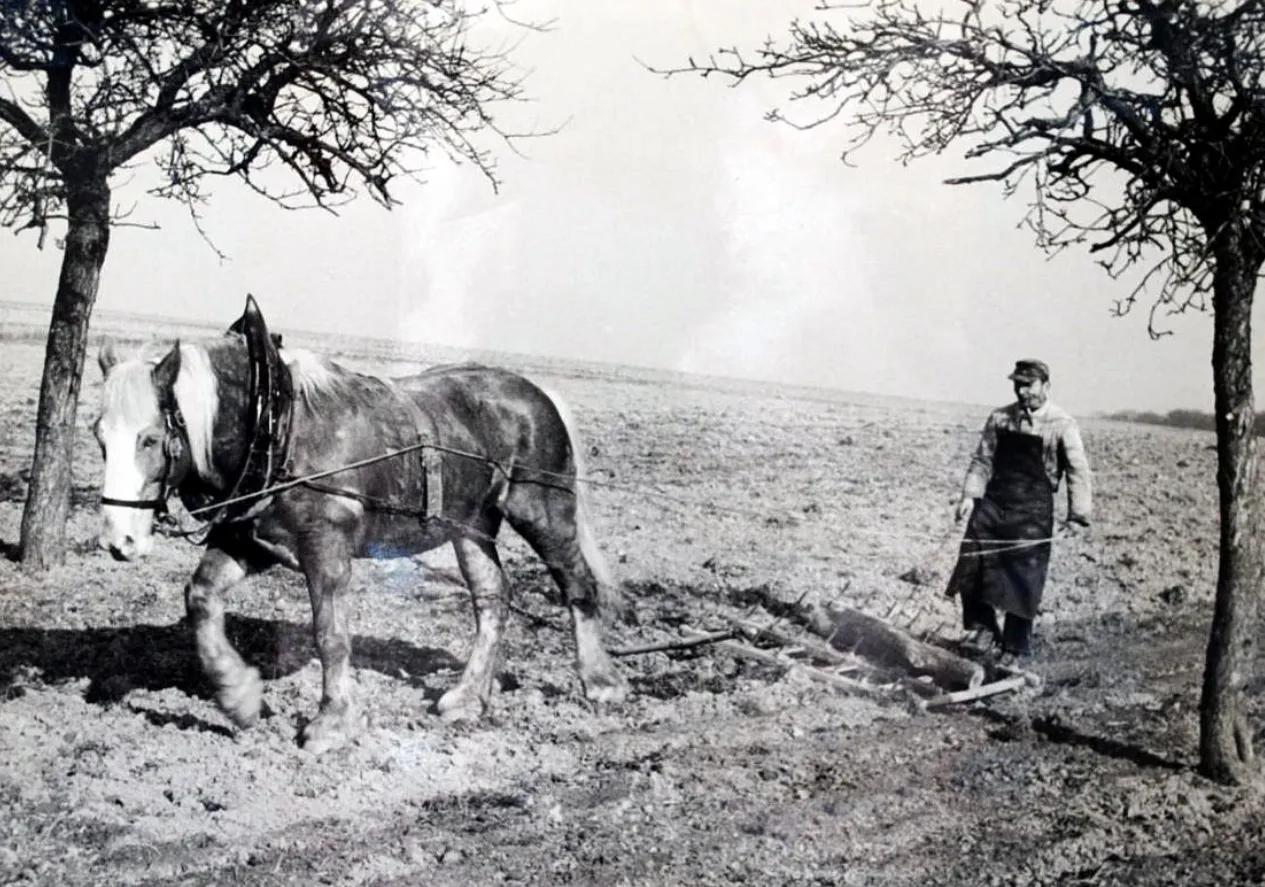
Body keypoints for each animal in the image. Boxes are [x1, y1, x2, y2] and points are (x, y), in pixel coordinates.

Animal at [93, 296, 627, 754]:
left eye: (150, 438)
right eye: (99, 436)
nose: (119, 540)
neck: (277, 423)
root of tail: (537, 392)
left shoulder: (325, 547)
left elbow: (330, 634)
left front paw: (331, 723)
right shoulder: (253, 542)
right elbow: (201, 597)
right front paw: (239, 696)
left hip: (541, 510)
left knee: (577, 585)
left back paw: (599, 683)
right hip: (472, 525)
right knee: (493, 598)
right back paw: (467, 698)